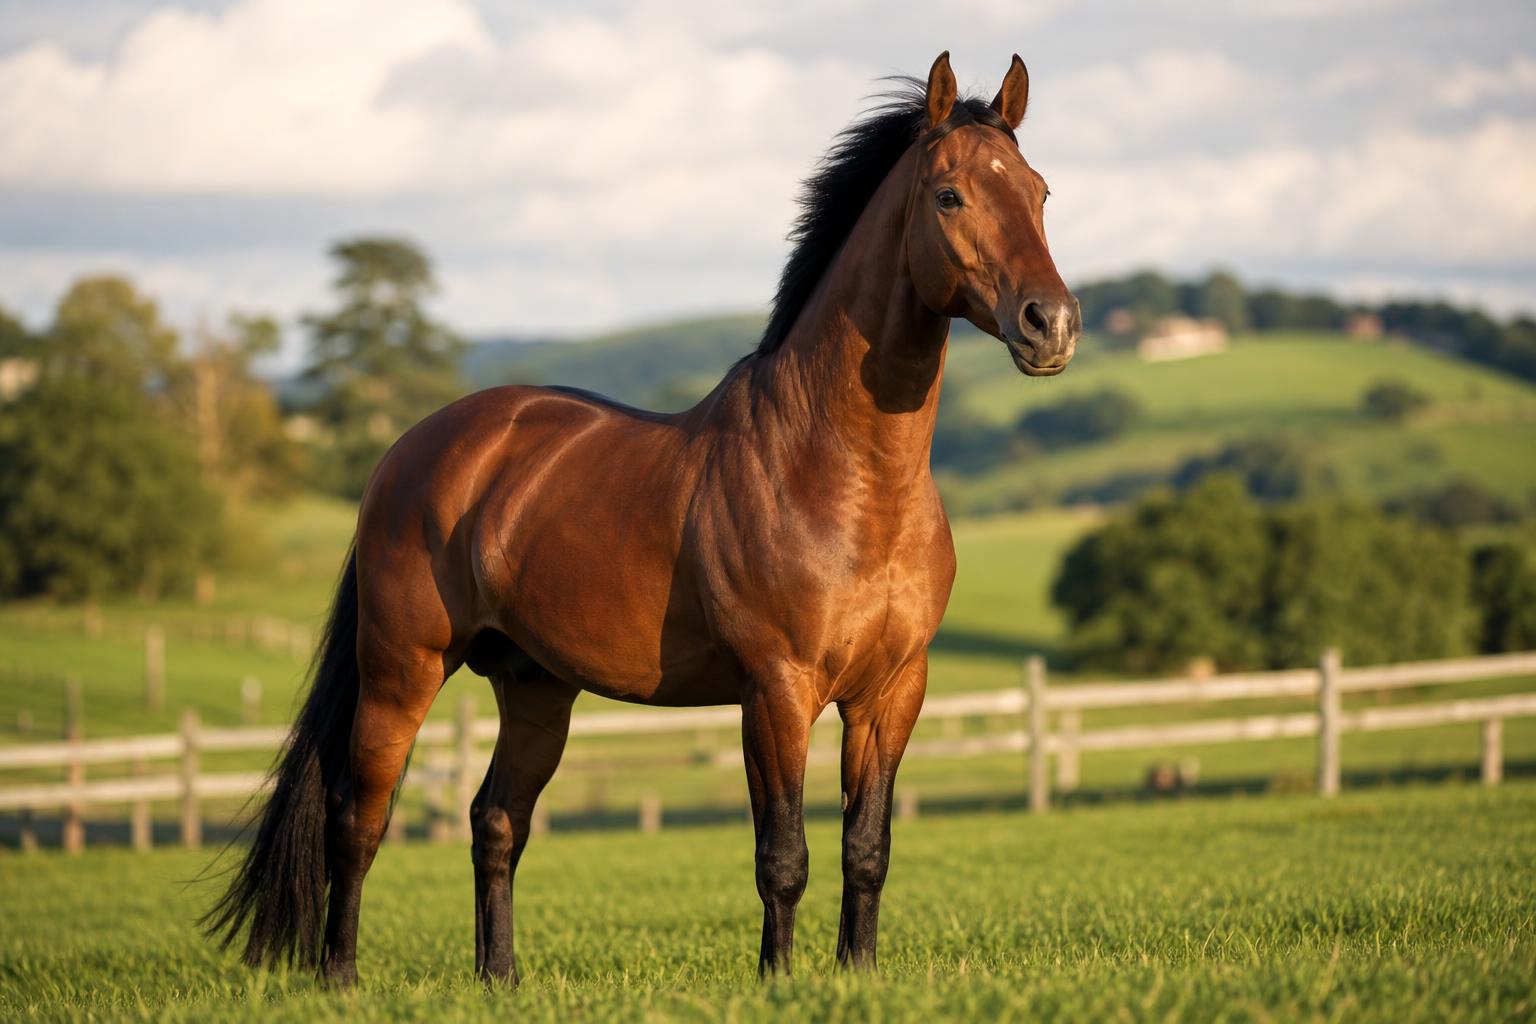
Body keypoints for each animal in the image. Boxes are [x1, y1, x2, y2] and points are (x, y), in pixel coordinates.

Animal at [203, 50, 1080, 988]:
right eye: (950, 195)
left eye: (1040, 191)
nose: (1051, 323)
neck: (843, 478)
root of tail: (411, 451)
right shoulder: (776, 690)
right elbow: (784, 855)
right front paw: (778, 982)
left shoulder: (892, 692)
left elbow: (867, 848)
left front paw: (858, 976)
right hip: (402, 669)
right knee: (358, 816)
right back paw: (339, 975)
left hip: (535, 687)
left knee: (495, 820)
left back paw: (500, 978)